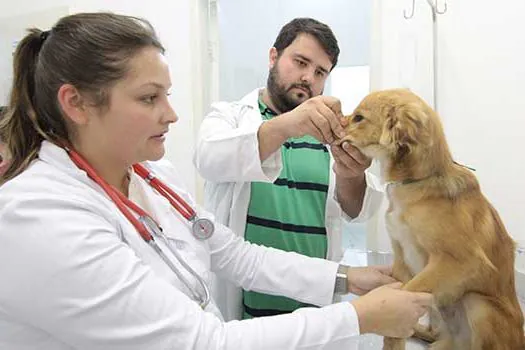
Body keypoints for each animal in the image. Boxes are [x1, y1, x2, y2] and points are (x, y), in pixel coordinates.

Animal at [342, 89, 520, 348]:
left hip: (479, 306)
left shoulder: (461, 261)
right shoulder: (401, 259)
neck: (415, 183)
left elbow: (409, 291)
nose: (338, 122)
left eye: (358, 118)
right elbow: (394, 328)